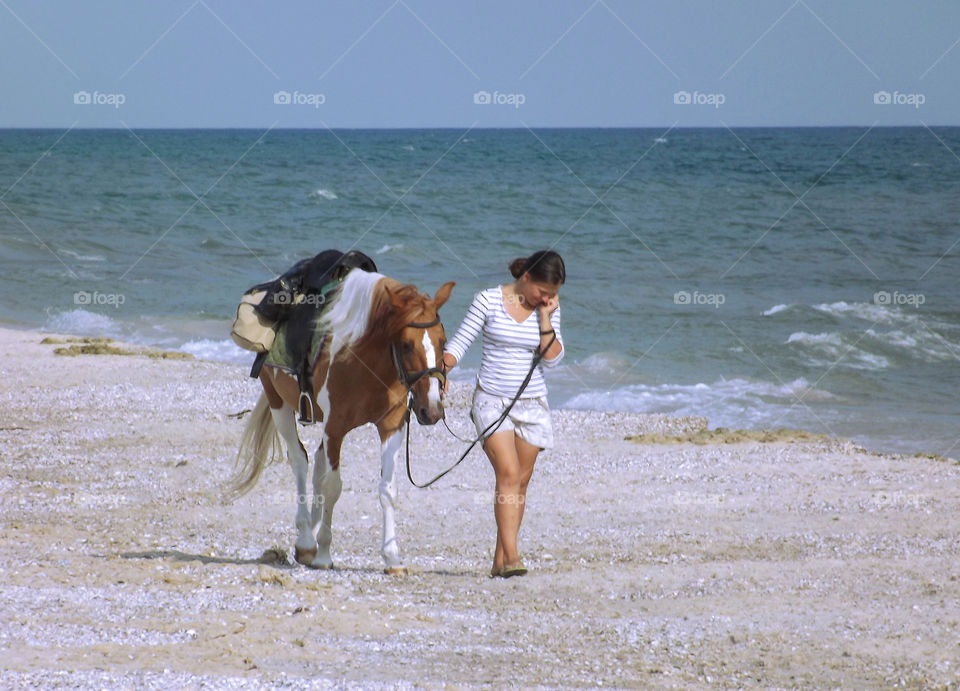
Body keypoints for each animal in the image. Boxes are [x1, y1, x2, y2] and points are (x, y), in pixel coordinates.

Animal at [233, 268, 458, 576]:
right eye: (406, 344)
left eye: (442, 340)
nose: (432, 410)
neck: (364, 360)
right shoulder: (335, 427)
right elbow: (333, 487)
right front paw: (324, 554)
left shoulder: (391, 426)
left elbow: (387, 489)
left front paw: (392, 558)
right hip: (279, 403)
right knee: (300, 461)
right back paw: (307, 540)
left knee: (317, 464)